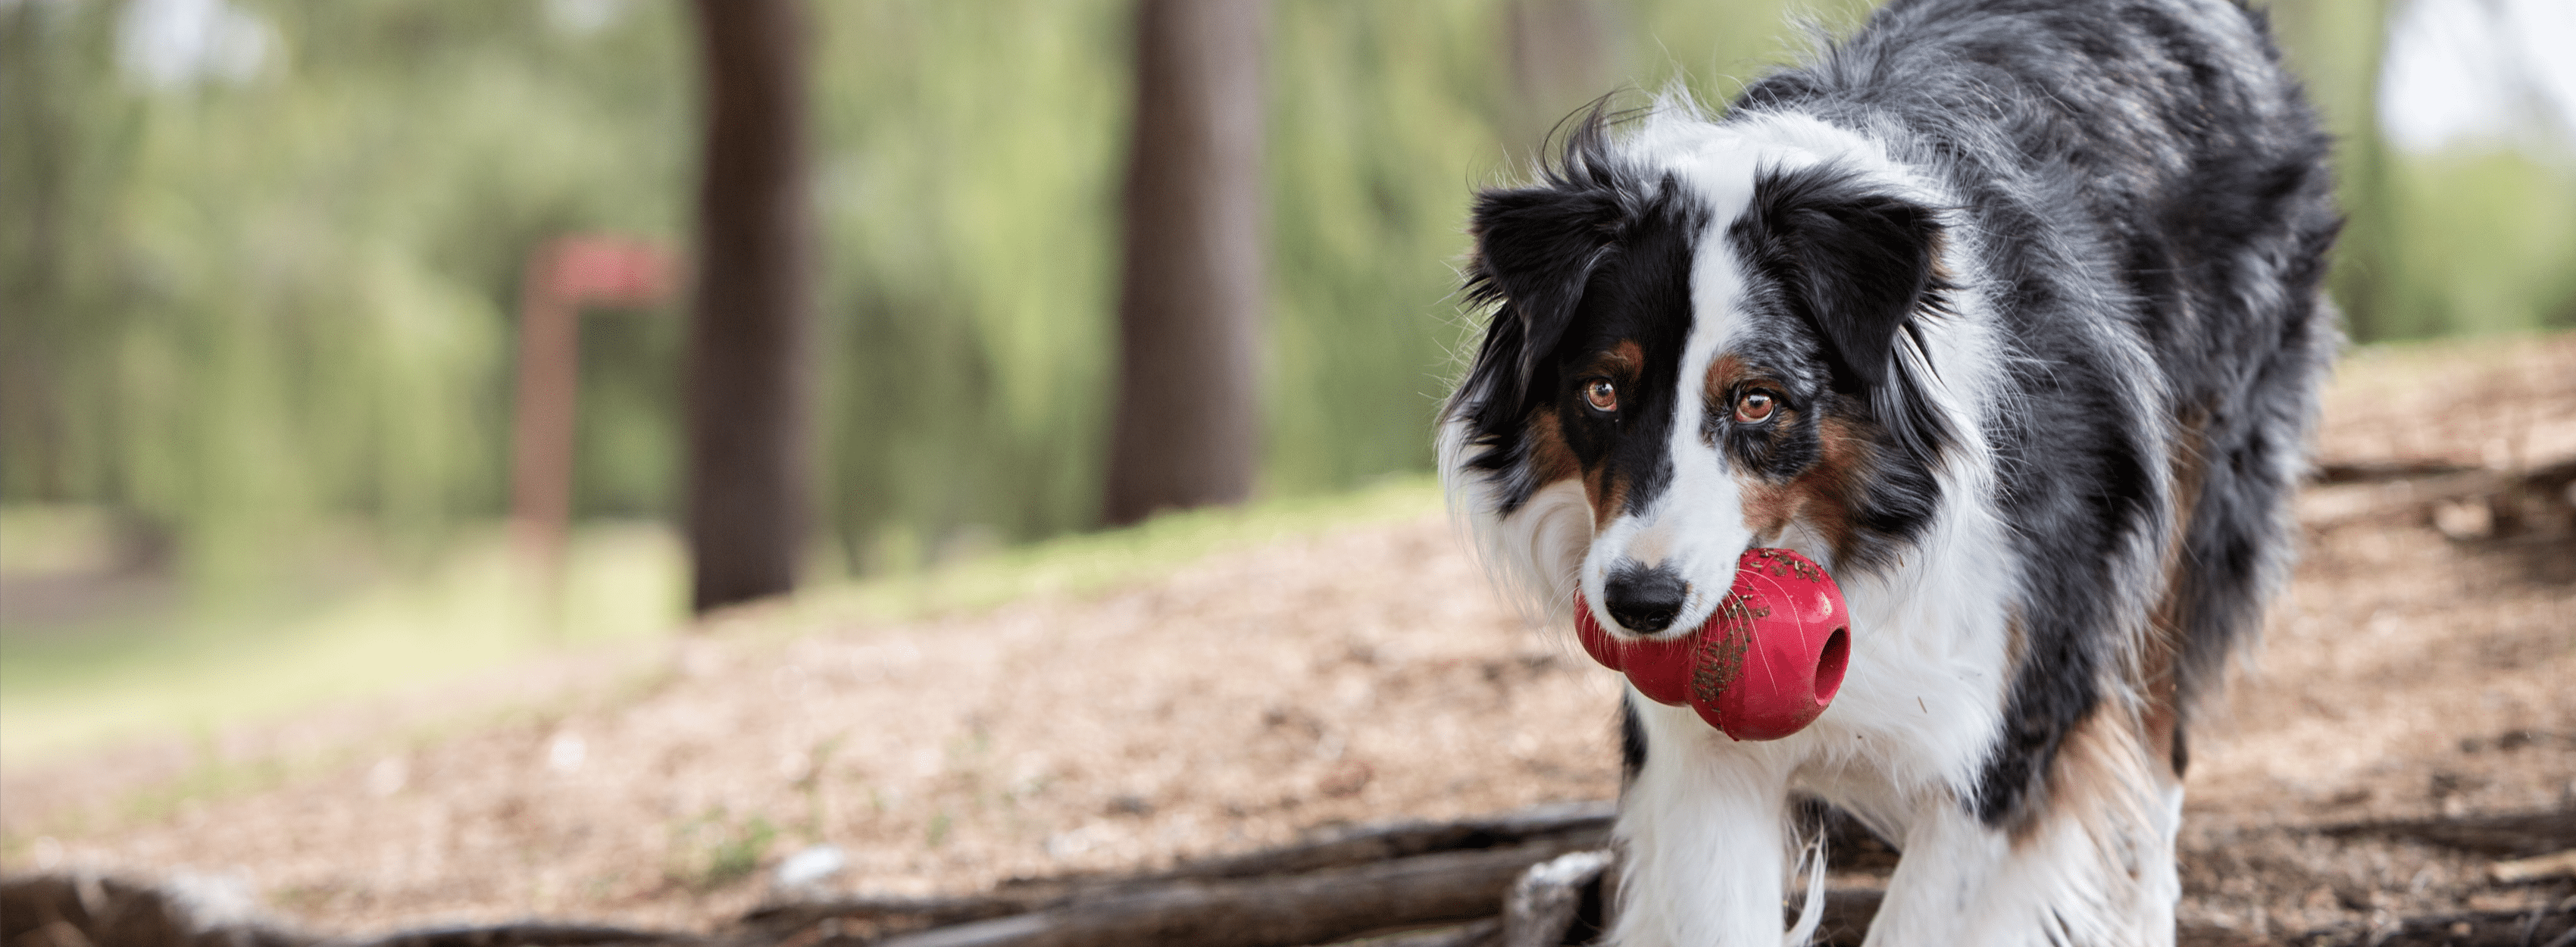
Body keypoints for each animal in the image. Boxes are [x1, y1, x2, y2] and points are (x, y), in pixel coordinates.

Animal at [1443, 0, 2349, 942]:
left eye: (1756, 401)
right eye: (1602, 390)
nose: (1639, 604)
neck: (1851, 526)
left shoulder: (2014, 720)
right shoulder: (1699, 754)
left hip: (2193, 516)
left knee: (2157, 744)